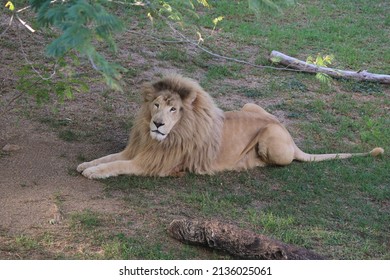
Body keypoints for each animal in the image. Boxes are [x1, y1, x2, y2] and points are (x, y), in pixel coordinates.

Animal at [77, 74, 384, 179]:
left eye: (173, 109)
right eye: (156, 105)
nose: (158, 123)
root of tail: (288, 134)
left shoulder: (155, 164)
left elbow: (117, 165)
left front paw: (93, 173)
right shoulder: (137, 149)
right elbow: (109, 157)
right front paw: (85, 164)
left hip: (270, 139)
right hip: (250, 105)